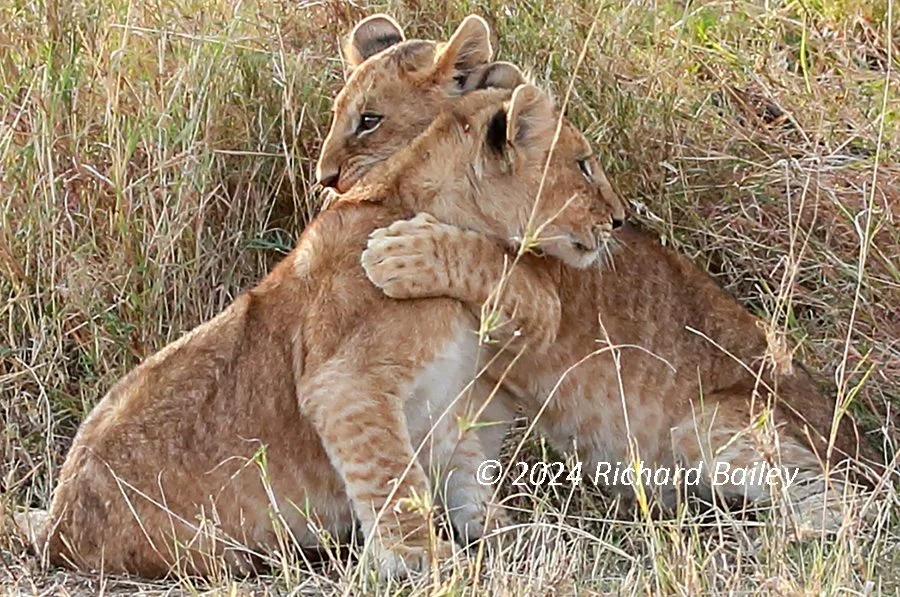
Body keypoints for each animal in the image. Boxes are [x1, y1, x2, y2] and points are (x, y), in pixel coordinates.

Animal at [14, 32, 624, 577]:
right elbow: (391, 479)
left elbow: (466, 475)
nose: (620, 220)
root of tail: (57, 532)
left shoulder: (441, 401)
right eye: (584, 164)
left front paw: (511, 536)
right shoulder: (345, 384)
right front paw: (425, 560)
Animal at [317, 14, 883, 525]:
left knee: (848, 506)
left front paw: (398, 253)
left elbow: (484, 261)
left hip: (710, 421)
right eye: (339, 113)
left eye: (369, 120)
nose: (325, 178)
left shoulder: (546, 306)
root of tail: (868, 449)